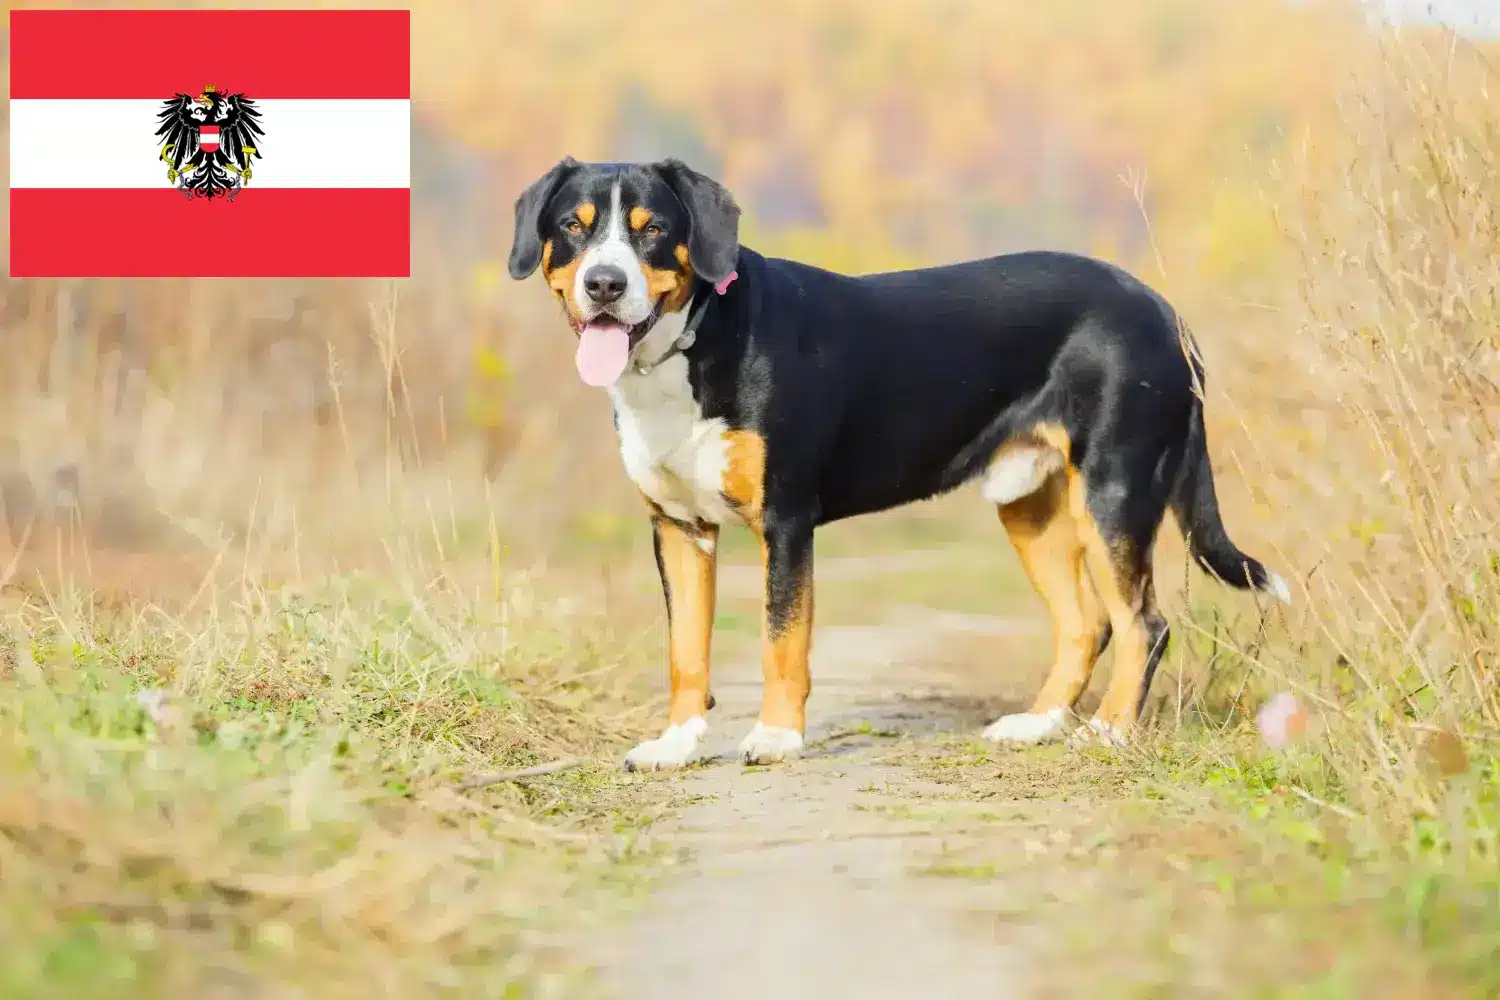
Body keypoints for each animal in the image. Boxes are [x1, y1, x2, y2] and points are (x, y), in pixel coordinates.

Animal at [507, 156, 1290, 773]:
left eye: (652, 229)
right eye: (573, 226)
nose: (605, 284)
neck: (689, 344)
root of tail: (1161, 307)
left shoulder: (785, 521)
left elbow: (781, 640)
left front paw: (777, 737)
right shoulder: (679, 528)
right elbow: (685, 650)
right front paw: (675, 743)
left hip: (1115, 492)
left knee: (1142, 626)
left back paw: (1107, 733)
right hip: (1029, 505)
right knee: (1086, 625)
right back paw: (1034, 724)